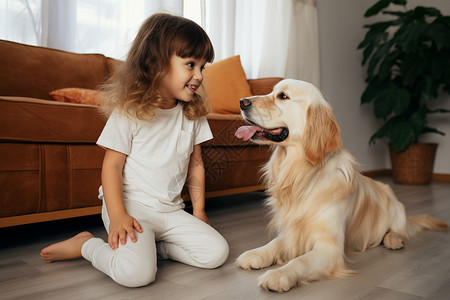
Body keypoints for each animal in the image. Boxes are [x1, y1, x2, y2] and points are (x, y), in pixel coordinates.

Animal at [234, 79, 448, 292]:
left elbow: (300, 261)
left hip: (396, 210)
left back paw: (392, 240)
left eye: (283, 96)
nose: (242, 102)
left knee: (399, 231)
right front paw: (256, 253)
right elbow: (275, 243)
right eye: (272, 91)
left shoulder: (329, 247)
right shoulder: (291, 230)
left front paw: (278, 275)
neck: (301, 175)